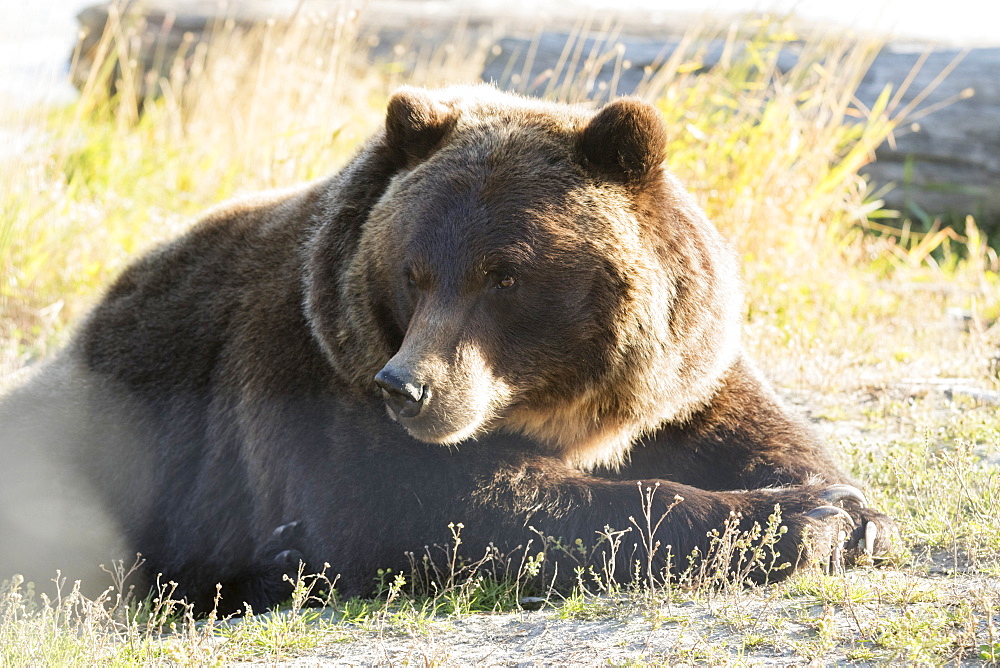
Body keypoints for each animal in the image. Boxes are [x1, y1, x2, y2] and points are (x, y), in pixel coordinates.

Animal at [0, 86, 892, 612]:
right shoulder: (318, 385)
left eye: (506, 275)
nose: (408, 386)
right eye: (413, 272)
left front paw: (848, 509)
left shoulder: (681, 375)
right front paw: (800, 521)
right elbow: (456, 506)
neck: (566, 410)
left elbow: (763, 431)